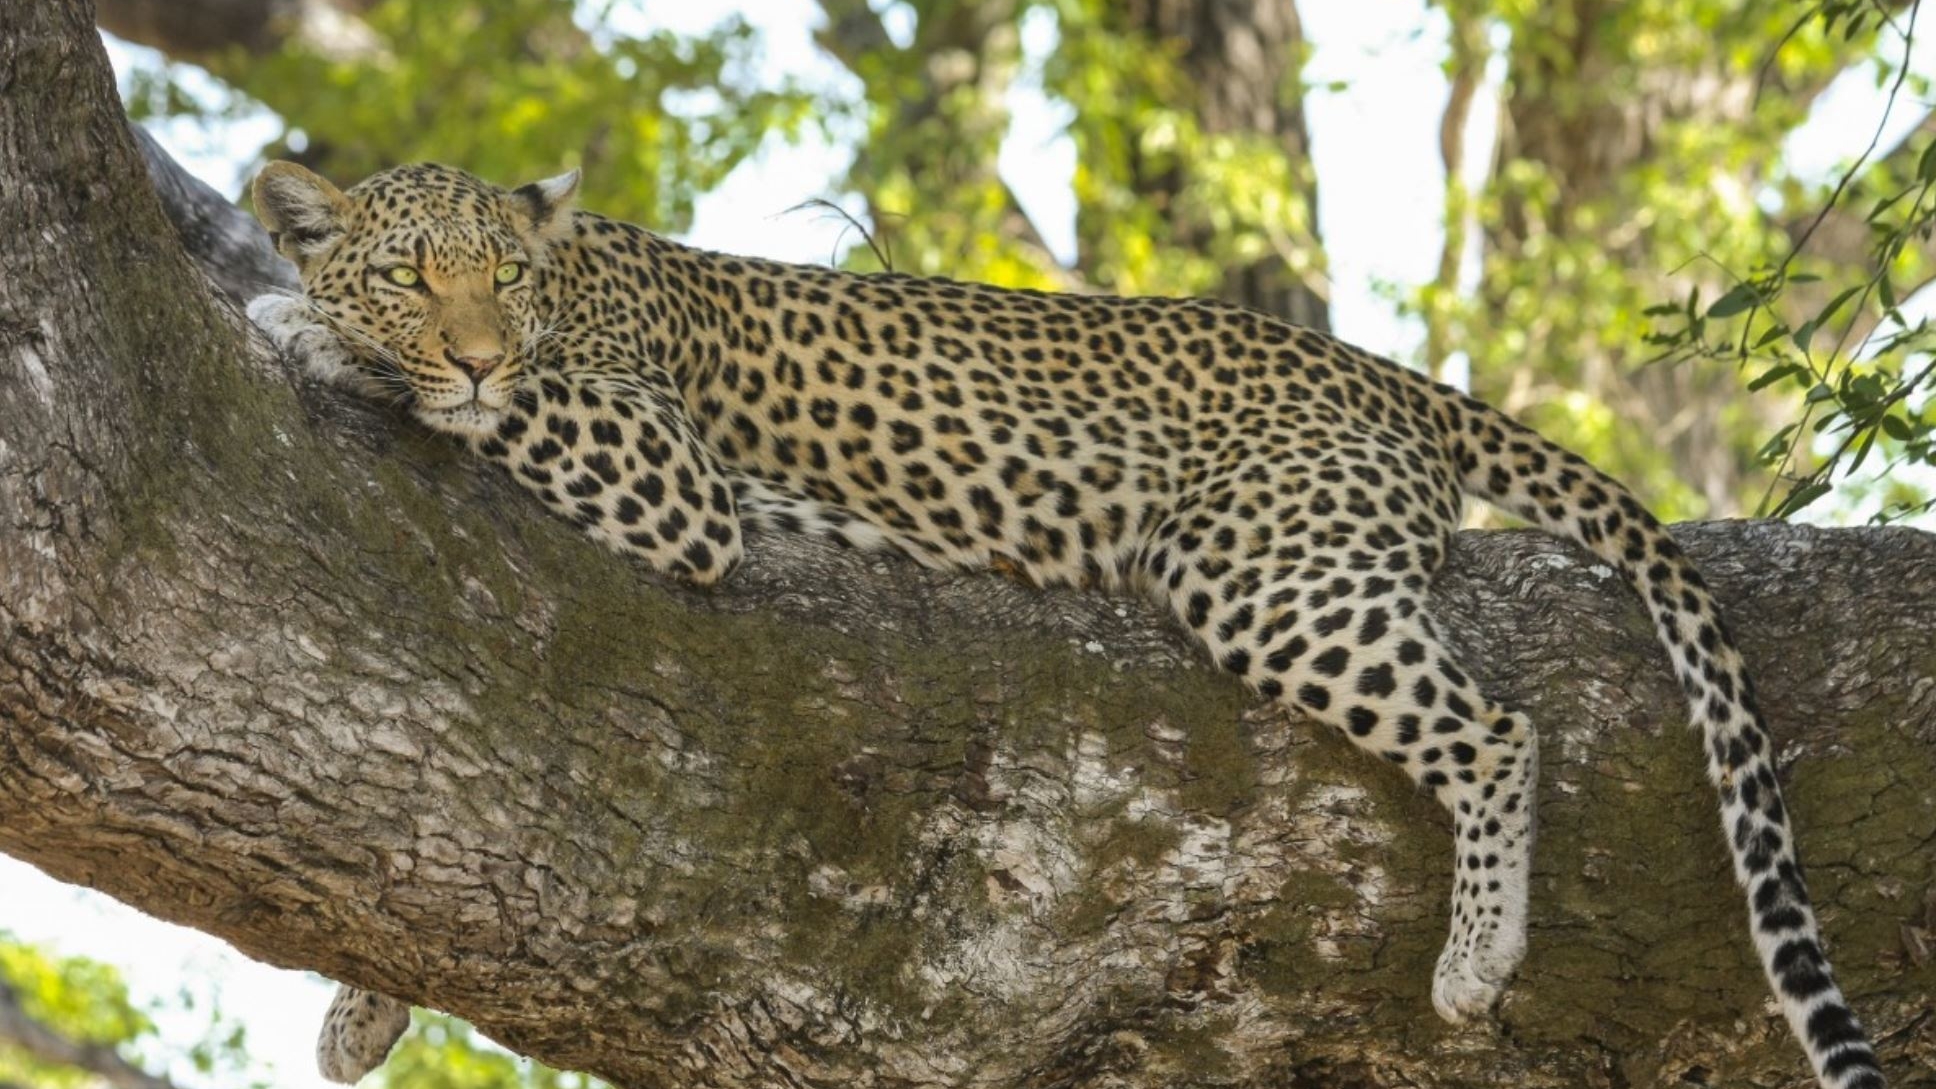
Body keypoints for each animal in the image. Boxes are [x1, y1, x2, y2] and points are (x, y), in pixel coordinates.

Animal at [249, 160, 1881, 1085]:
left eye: (501, 280)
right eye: (413, 273)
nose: (473, 346)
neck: (575, 278)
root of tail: (1380, 373)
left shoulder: (669, 475)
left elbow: (509, 404)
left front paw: (301, 327)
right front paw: (362, 1013)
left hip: (1259, 570)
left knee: (1497, 727)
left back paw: (1478, 956)